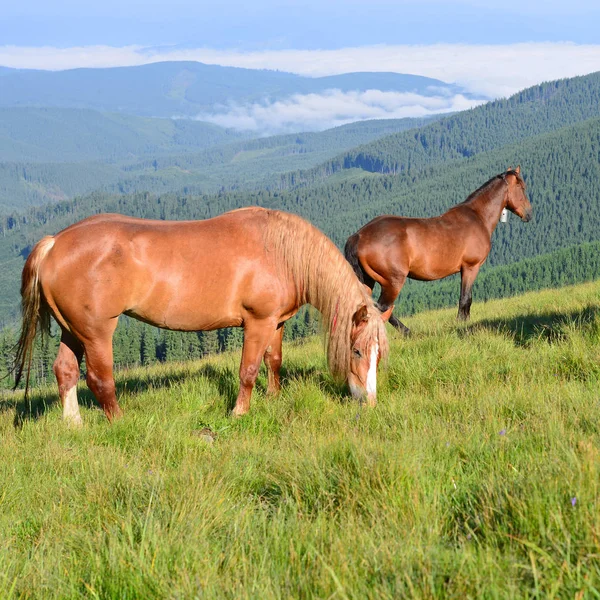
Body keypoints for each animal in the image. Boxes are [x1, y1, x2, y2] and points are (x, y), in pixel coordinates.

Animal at [15, 209, 390, 424]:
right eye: (357, 351)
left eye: (379, 355)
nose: (369, 403)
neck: (282, 252)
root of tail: (55, 243)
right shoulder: (258, 322)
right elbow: (248, 370)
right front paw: (239, 413)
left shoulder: (276, 322)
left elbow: (274, 361)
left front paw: (273, 397)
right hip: (95, 332)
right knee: (99, 378)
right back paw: (119, 421)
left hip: (72, 330)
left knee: (65, 371)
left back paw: (73, 424)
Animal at [344, 168, 532, 332]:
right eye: (522, 188)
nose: (529, 214)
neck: (477, 216)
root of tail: (360, 235)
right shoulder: (471, 267)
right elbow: (466, 298)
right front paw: (461, 324)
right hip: (393, 281)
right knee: (383, 307)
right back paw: (406, 331)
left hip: (368, 281)